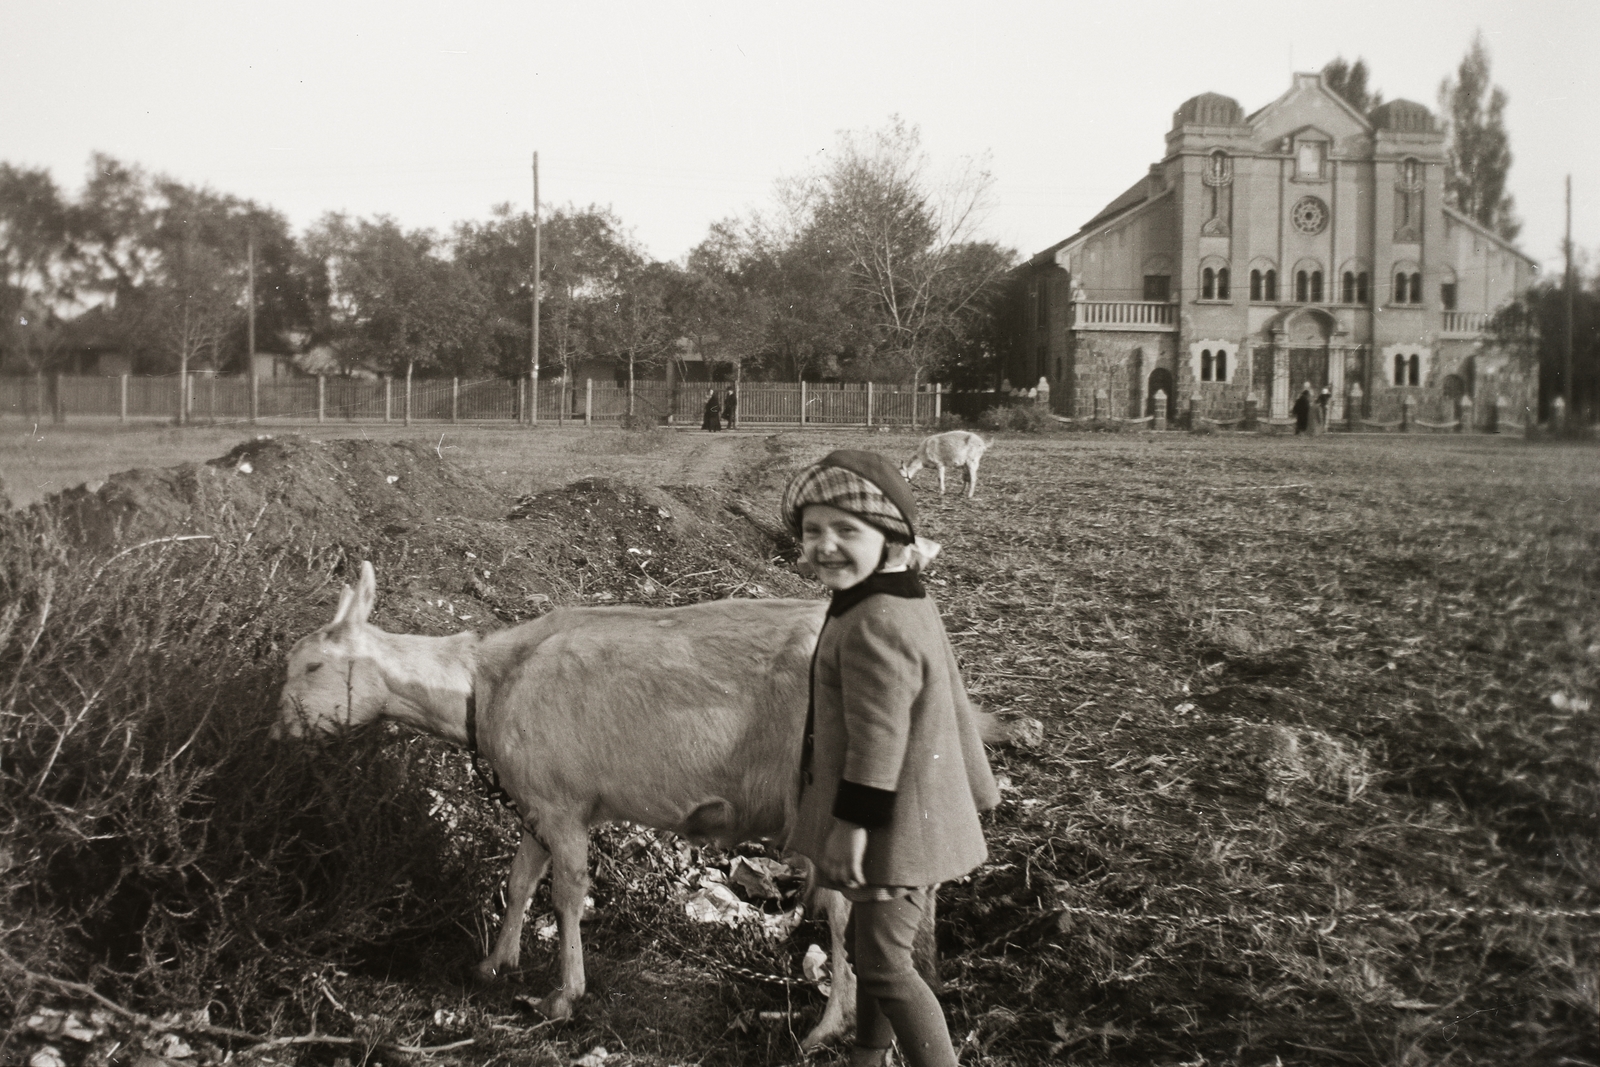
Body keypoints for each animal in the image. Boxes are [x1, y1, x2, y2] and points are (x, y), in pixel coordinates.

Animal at [272, 563, 864, 1049]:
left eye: (314, 666)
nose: (277, 732)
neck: (486, 684)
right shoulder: (535, 803)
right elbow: (518, 884)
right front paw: (494, 963)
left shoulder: (564, 806)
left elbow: (567, 895)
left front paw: (562, 996)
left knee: (843, 913)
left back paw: (828, 1027)